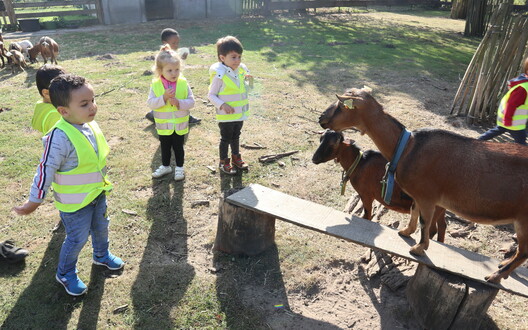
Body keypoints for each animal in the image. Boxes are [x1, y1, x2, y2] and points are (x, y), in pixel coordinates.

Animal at [314, 130, 446, 242]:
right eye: (320, 139)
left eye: (333, 143)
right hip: (440, 210)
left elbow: (367, 216)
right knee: (442, 227)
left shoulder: (366, 195)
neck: (359, 163)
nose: (314, 158)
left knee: (432, 230)